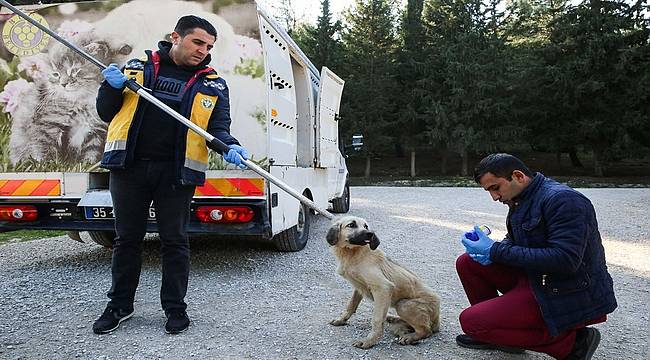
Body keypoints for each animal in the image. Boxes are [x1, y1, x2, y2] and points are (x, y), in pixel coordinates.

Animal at [324, 217, 440, 348]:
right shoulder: (359, 287)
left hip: (403, 305)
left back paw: (410, 337)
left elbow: (377, 319)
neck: (353, 254)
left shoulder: (383, 288)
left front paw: (369, 341)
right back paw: (394, 320)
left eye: (366, 226)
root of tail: (437, 319)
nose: (370, 234)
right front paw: (341, 320)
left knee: (426, 330)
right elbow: (351, 305)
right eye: (351, 225)